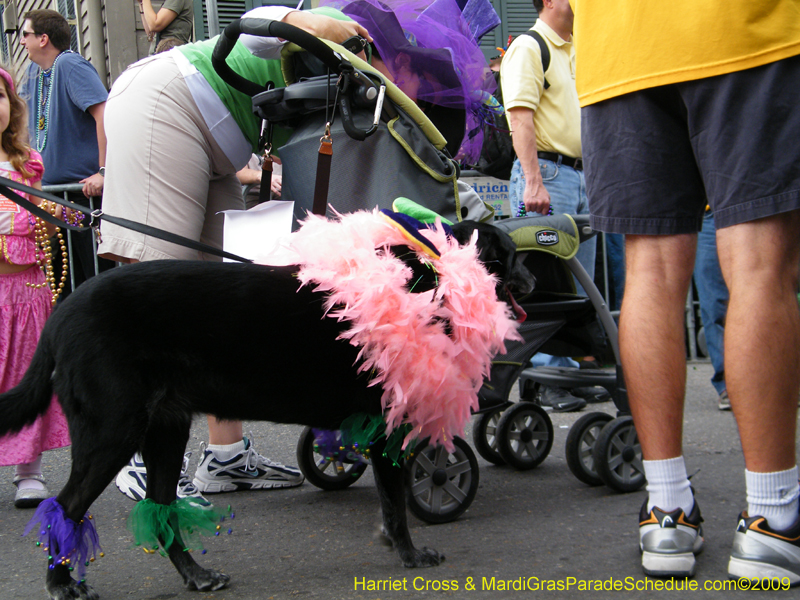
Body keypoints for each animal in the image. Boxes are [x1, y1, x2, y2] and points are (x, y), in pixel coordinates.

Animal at [1, 220, 536, 600]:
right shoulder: (387, 428)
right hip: (113, 432)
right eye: (509, 256)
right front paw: (408, 552)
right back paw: (61, 583)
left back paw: (196, 575)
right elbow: (397, 503)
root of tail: (61, 314)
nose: (532, 278)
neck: (424, 280)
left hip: (165, 432)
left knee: (163, 512)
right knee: (66, 508)